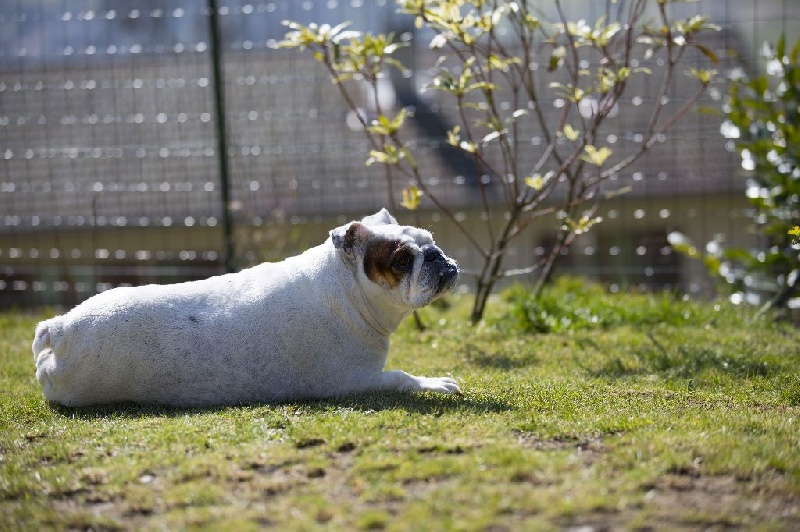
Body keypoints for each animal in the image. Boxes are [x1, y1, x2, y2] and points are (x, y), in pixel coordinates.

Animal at [32, 209, 462, 408]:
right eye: (402, 260)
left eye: (429, 240)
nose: (436, 256)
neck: (344, 287)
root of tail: (64, 326)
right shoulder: (355, 381)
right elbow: (402, 376)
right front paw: (433, 383)